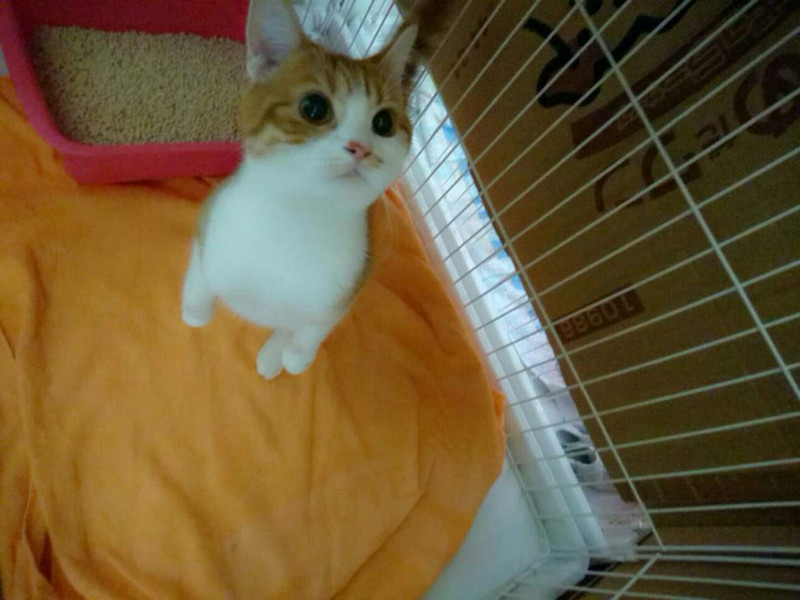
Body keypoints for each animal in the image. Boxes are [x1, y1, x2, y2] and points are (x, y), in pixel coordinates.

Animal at [182, 0, 437, 379]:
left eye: (384, 122)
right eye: (314, 108)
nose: (361, 147)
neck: (299, 221)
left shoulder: (348, 284)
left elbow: (313, 327)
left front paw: (295, 354)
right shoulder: (212, 222)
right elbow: (201, 274)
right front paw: (196, 311)